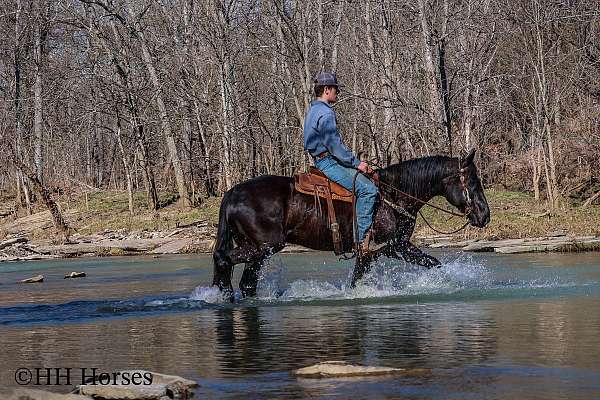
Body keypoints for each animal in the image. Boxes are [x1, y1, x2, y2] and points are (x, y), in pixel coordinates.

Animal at [213, 150, 490, 296]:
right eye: (473, 181)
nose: (485, 215)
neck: (393, 195)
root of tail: (232, 192)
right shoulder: (387, 247)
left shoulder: (390, 248)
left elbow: (432, 263)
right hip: (265, 246)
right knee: (223, 259)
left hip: (259, 250)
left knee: (245, 280)